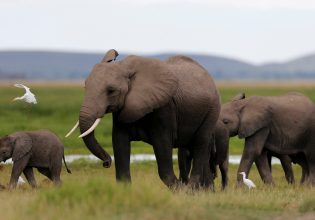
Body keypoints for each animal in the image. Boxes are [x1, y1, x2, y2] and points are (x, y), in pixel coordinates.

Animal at [67, 49, 221, 188]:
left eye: (111, 91)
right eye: (85, 86)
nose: (106, 163)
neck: (125, 67)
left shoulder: (164, 108)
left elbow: (162, 147)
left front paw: (181, 191)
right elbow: (119, 142)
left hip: (212, 110)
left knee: (200, 144)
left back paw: (191, 189)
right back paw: (203, 191)